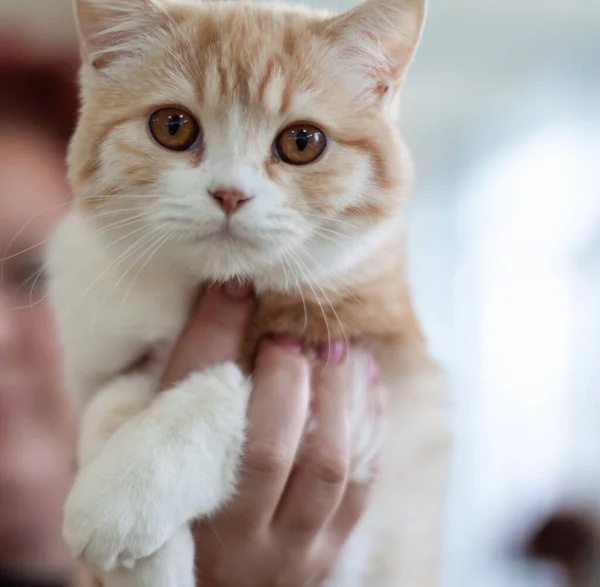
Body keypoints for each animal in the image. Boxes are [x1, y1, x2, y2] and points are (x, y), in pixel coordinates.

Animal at [47, 0, 450, 584]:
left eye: (302, 142)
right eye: (173, 126)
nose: (230, 193)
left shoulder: (375, 379)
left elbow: (228, 389)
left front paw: (122, 495)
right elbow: (109, 402)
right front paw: (147, 561)